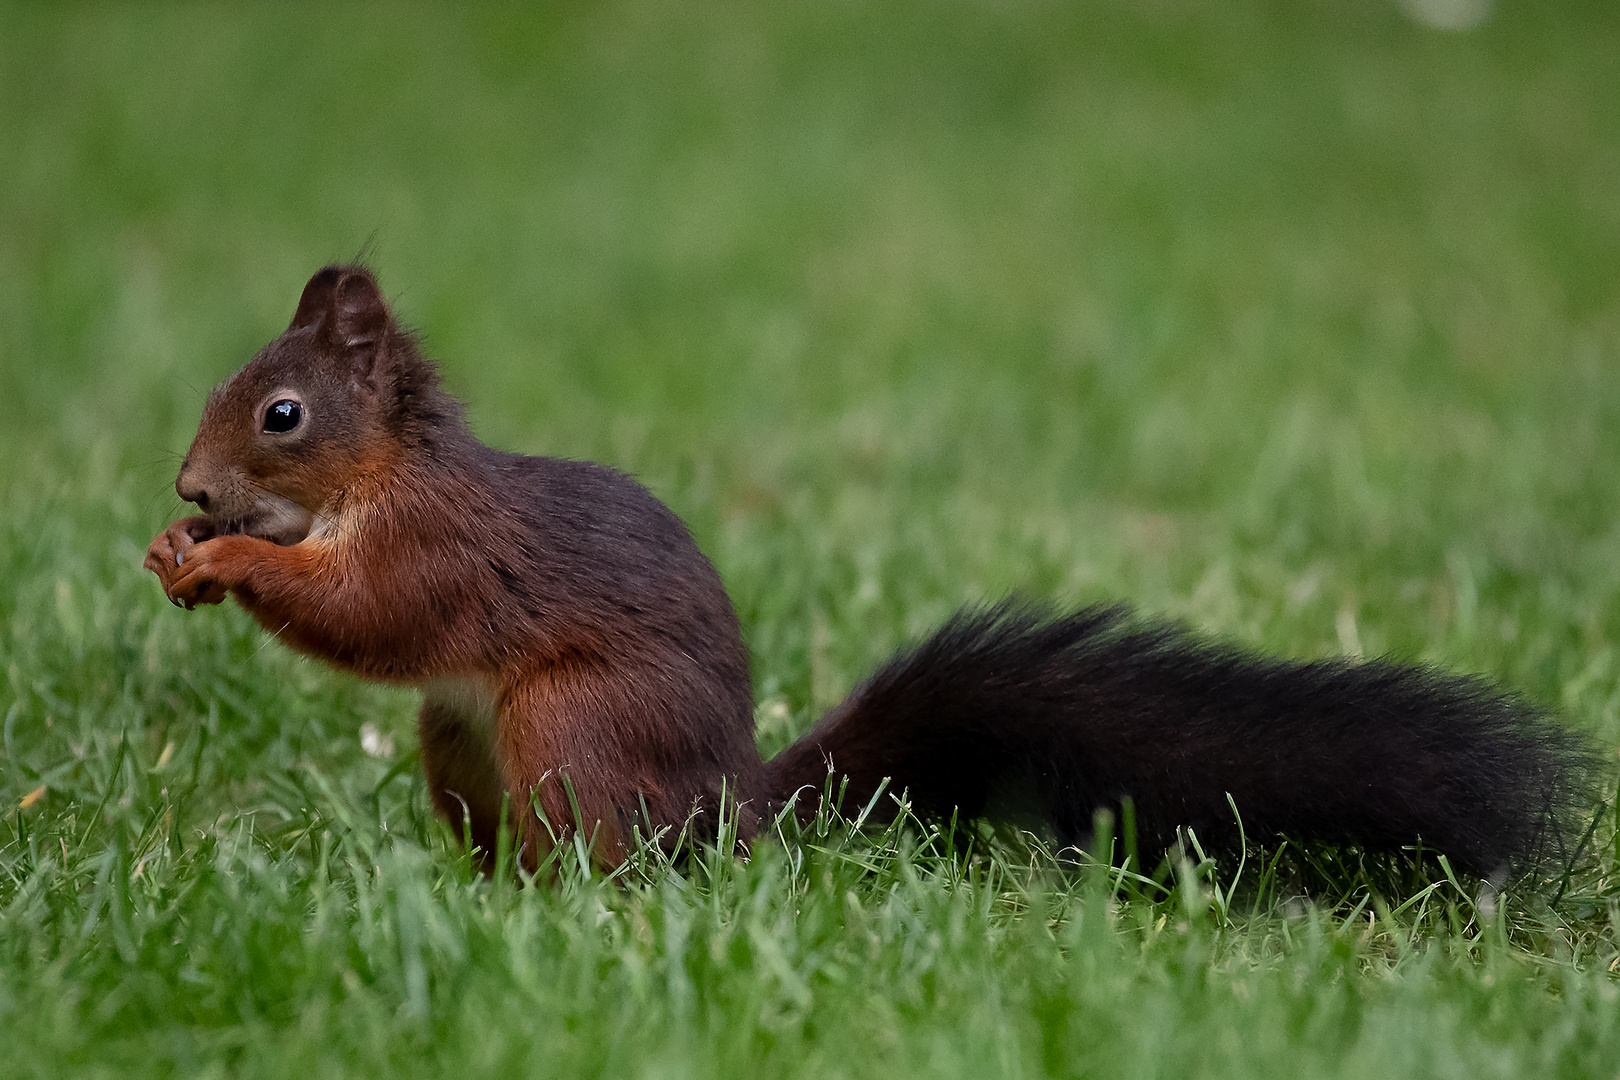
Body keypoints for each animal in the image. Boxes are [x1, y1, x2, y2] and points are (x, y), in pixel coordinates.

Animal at [145, 265, 1600, 880]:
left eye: (281, 414)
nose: (190, 490)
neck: (384, 476)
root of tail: (731, 807)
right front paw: (181, 554)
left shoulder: (441, 549)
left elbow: (370, 615)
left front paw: (225, 560)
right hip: (460, 746)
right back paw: (483, 893)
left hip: (573, 726)